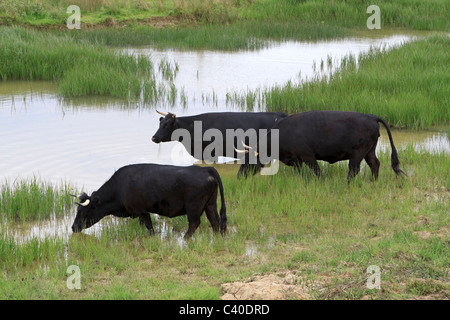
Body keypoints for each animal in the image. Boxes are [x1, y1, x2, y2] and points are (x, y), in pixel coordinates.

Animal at [72, 164, 227, 239]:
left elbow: (149, 226)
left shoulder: (141, 210)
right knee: (215, 220)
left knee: (195, 223)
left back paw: (185, 239)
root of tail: (206, 169)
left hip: (194, 207)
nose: (73, 228)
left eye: (83, 212)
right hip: (210, 204)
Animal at [241, 110, 406, 180]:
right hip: (369, 151)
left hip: (358, 153)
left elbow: (317, 171)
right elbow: (300, 172)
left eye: (248, 160)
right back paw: (373, 181)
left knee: (354, 169)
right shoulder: (296, 159)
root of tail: (371, 116)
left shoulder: (308, 156)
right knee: (374, 164)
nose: (239, 176)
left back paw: (347, 183)